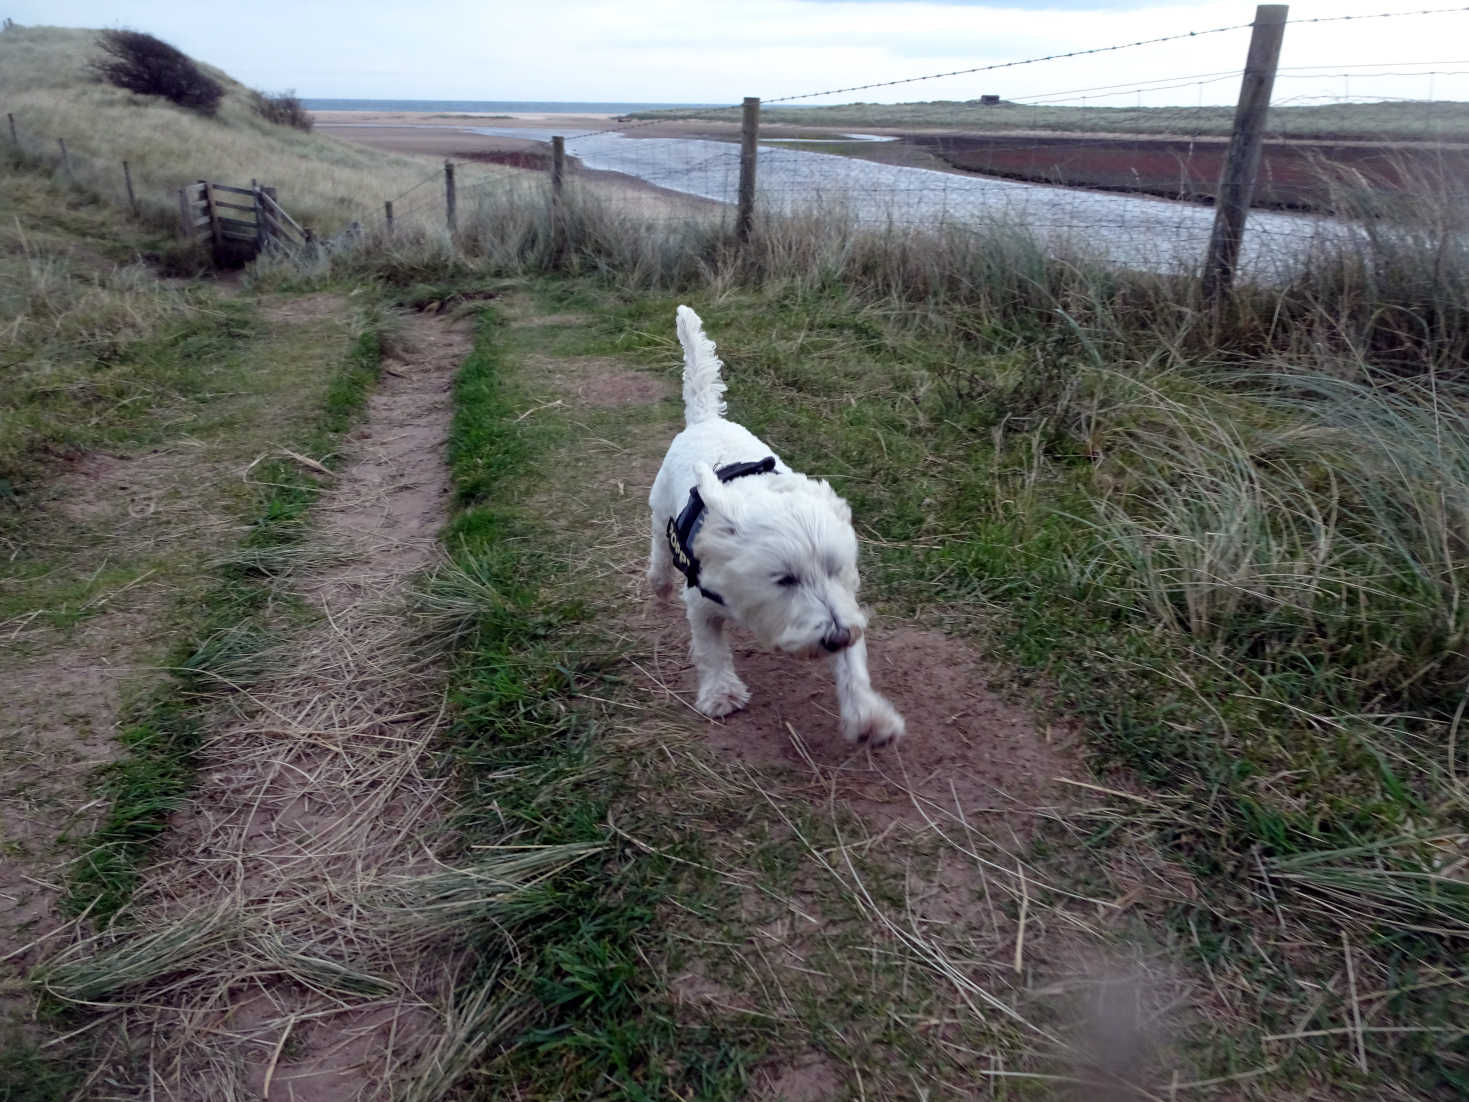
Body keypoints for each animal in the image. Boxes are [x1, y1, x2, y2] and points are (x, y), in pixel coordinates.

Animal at [646, 307, 899, 746]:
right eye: (784, 579)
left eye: (837, 570)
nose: (835, 638)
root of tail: (706, 419)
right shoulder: (701, 603)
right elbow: (711, 649)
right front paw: (721, 693)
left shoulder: (845, 606)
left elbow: (853, 665)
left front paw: (869, 717)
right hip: (661, 508)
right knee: (659, 547)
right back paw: (659, 582)